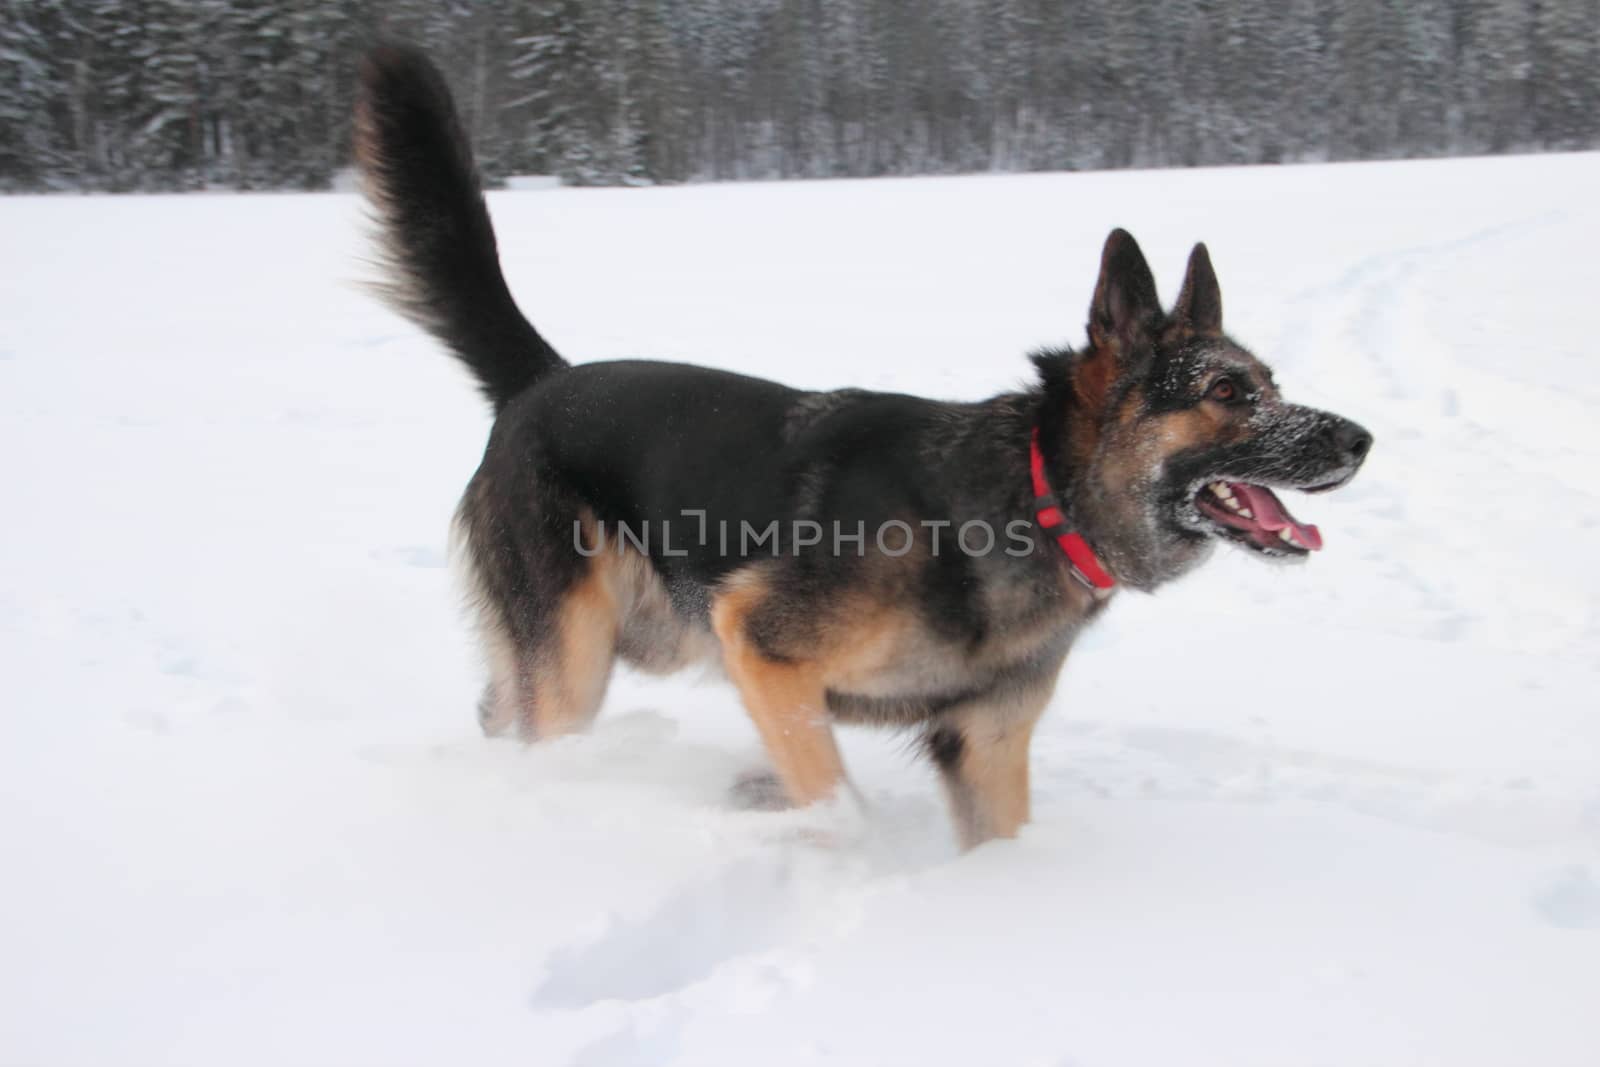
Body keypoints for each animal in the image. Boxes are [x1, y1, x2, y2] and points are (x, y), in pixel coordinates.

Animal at [356, 45, 1369, 851]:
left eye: (1270, 382)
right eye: (1226, 394)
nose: (1361, 438)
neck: (1029, 498)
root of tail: (541, 380)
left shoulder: (987, 745)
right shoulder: (764, 649)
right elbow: (834, 795)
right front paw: (817, 834)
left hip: (629, 640)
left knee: (500, 702)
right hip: (582, 656)